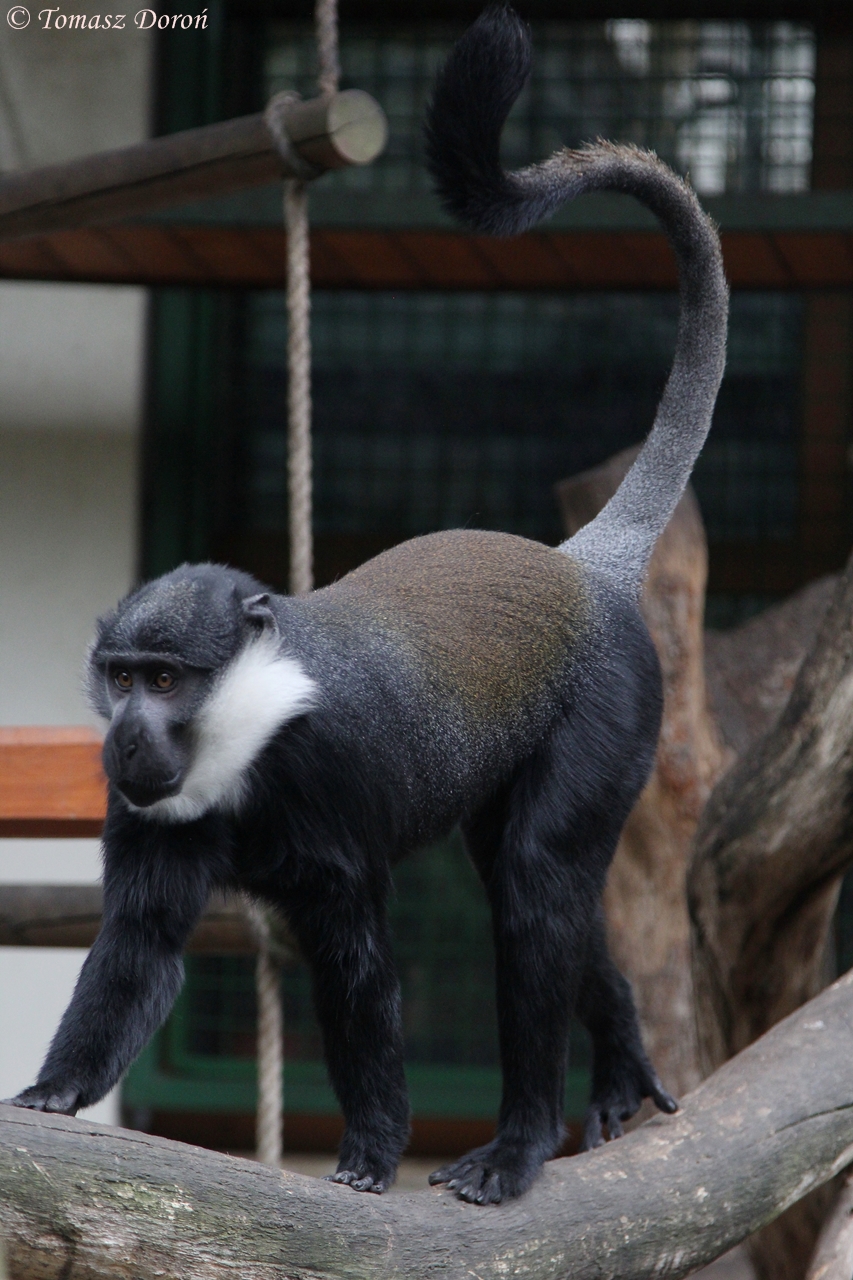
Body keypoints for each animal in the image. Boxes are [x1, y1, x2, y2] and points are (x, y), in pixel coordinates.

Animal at [6, 5, 727, 1206]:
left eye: (168, 679)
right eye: (121, 677)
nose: (130, 733)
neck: (246, 728)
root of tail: (582, 565)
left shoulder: (329, 791)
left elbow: (358, 968)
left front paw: (371, 1153)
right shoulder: (151, 814)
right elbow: (140, 945)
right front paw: (52, 1095)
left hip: (616, 716)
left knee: (534, 886)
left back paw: (519, 1144)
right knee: (542, 891)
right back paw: (622, 1060)